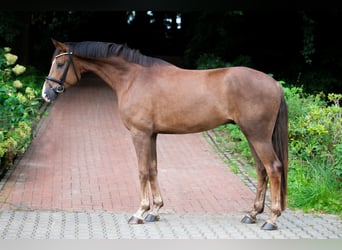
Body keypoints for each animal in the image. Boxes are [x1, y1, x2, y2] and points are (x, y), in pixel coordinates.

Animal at [42, 39, 288, 230]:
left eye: (60, 64)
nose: (46, 94)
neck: (134, 78)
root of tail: (274, 84)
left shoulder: (139, 134)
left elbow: (142, 171)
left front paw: (139, 213)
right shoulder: (152, 135)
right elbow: (153, 169)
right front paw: (155, 211)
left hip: (258, 137)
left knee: (273, 168)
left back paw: (272, 219)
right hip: (252, 136)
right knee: (261, 171)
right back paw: (252, 214)